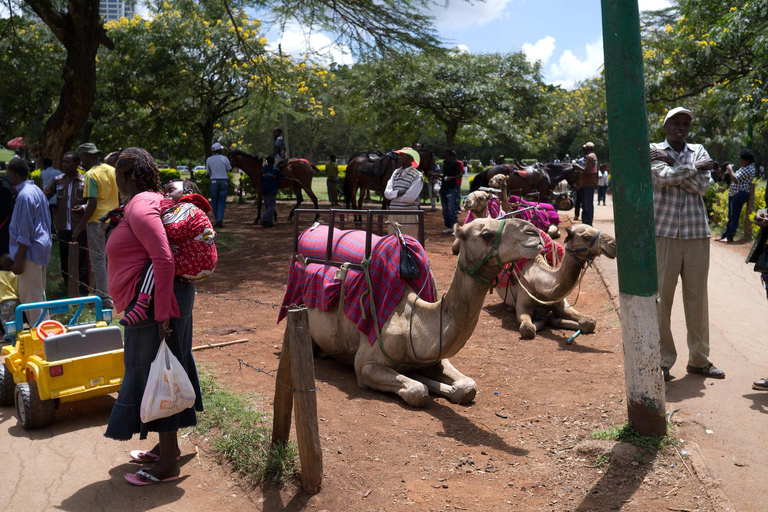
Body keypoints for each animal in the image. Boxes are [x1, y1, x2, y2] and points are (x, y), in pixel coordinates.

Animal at [304, 217, 544, 408]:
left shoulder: (434, 358)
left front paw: (444, 386)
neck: (411, 321)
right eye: (486, 234)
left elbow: (467, 387)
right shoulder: (364, 365)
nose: (535, 233)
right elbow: (417, 391)